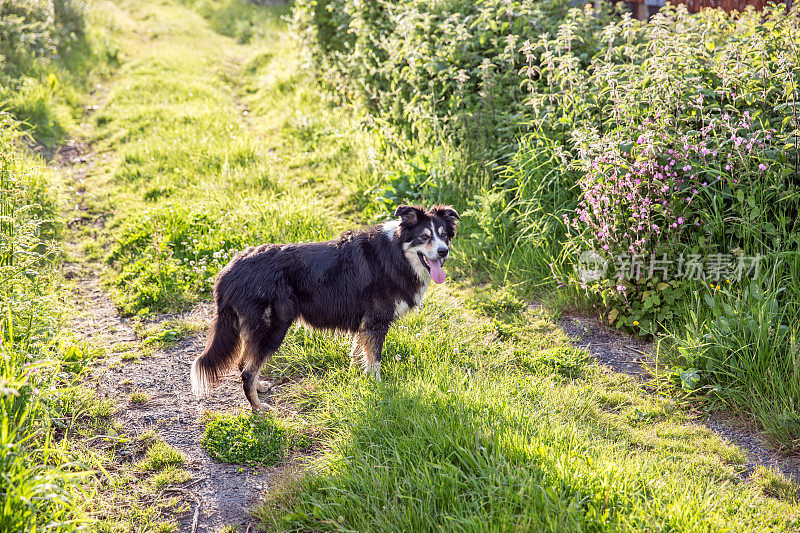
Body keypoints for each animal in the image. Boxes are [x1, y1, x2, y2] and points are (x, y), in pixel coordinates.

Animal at [190, 206, 460, 410]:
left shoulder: (365, 324)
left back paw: (259, 386)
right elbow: (375, 359)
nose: (443, 251)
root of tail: (228, 272)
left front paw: (360, 376)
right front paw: (377, 386)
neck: (397, 255)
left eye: (444, 235)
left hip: (257, 329)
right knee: (247, 371)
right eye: (424, 237)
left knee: (243, 363)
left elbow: (359, 352)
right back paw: (258, 408)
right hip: (273, 327)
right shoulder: (376, 321)